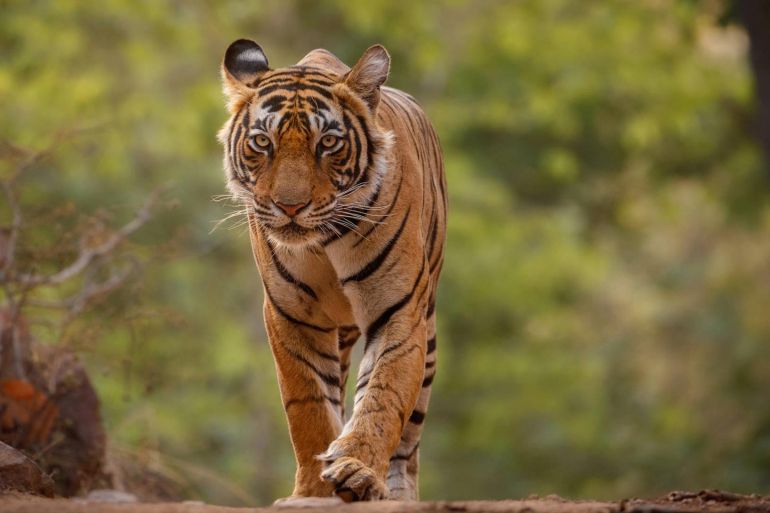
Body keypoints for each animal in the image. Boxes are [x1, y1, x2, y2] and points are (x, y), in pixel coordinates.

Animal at [218, 39, 447, 503]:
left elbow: (383, 394)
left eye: (328, 143)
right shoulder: (292, 316)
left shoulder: (398, 310)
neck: (323, 242)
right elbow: (308, 407)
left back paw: (397, 493)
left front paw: (358, 470)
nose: (290, 206)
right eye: (262, 142)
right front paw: (311, 489)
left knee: (408, 441)